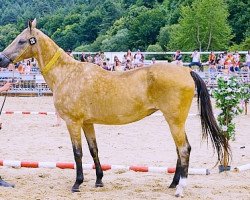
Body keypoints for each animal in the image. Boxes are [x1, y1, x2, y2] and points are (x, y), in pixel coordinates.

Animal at [0, 19, 230, 198]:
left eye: (21, 40)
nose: (2, 59)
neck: (67, 74)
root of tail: (186, 71)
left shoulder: (73, 122)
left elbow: (77, 153)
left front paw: (77, 183)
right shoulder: (87, 123)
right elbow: (93, 150)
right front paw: (99, 180)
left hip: (174, 120)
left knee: (184, 149)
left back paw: (180, 188)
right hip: (175, 121)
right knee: (179, 151)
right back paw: (173, 183)